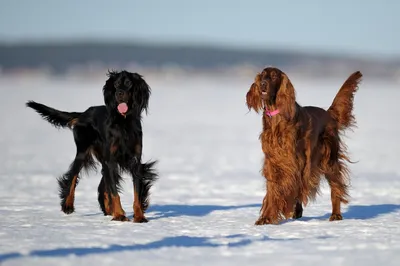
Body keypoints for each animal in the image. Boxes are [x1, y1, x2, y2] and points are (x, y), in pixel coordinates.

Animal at [25, 70, 158, 222]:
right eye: (116, 84)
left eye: (129, 83)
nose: (119, 93)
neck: (123, 122)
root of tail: (83, 113)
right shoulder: (111, 160)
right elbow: (114, 192)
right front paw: (119, 215)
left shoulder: (135, 160)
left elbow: (136, 192)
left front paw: (139, 216)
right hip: (82, 152)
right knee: (72, 176)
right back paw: (68, 205)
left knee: (102, 185)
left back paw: (108, 209)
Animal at [247, 66, 362, 224]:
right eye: (263, 75)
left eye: (275, 76)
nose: (263, 84)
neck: (277, 118)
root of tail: (329, 114)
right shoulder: (272, 161)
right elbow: (272, 189)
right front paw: (266, 218)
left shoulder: (295, 161)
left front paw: (274, 213)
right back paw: (298, 212)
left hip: (328, 160)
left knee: (335, 187)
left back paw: (336, 215)